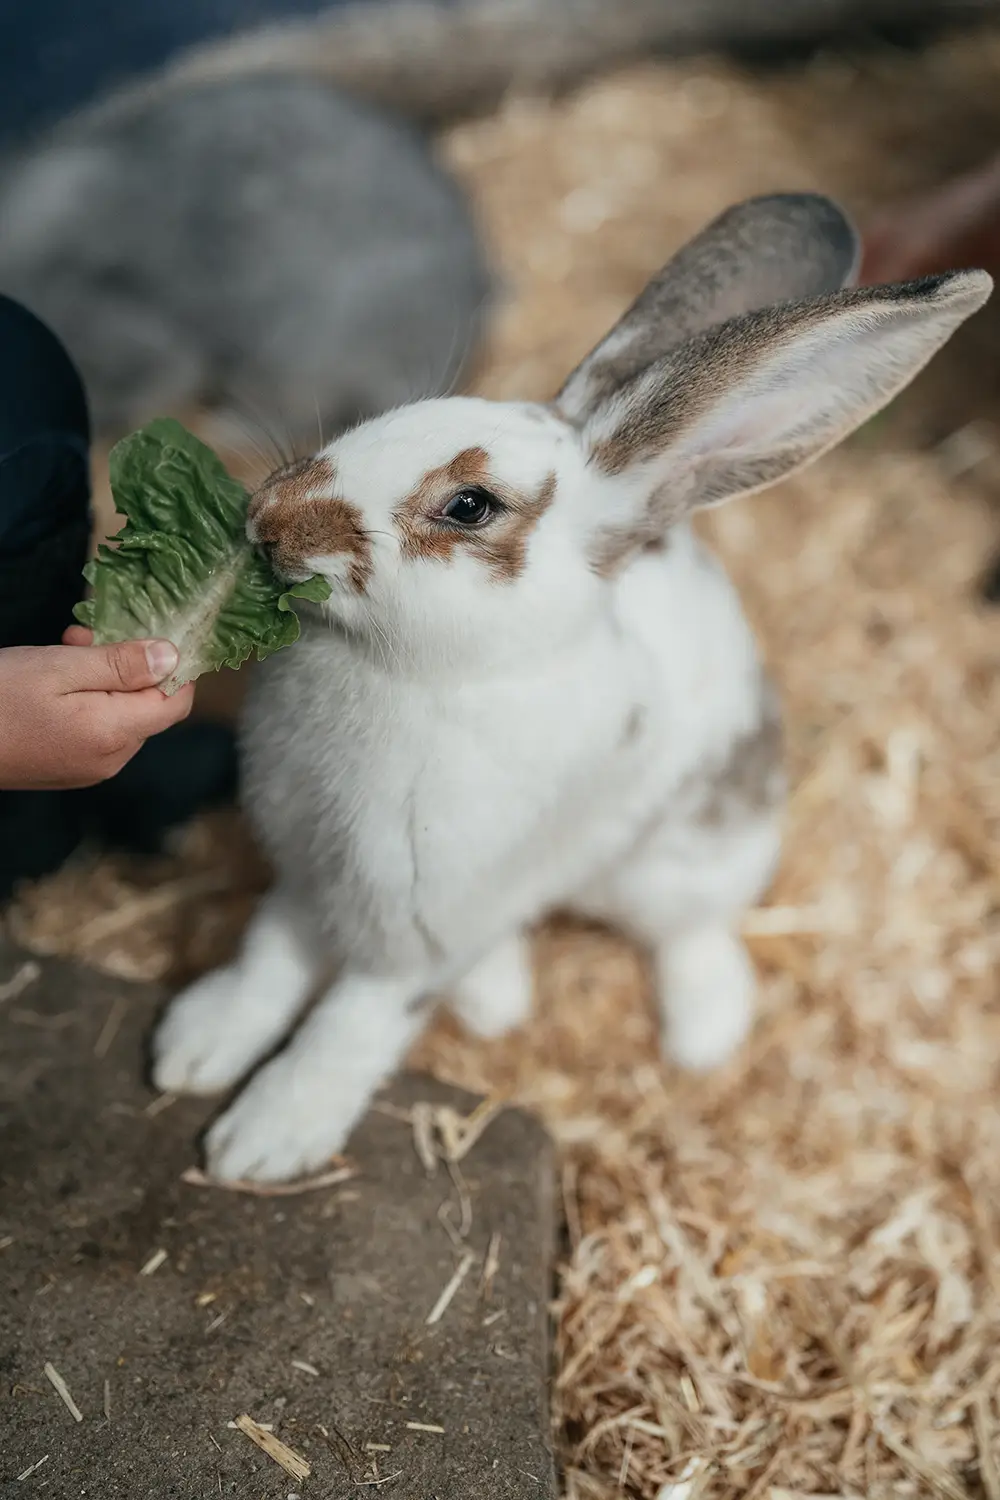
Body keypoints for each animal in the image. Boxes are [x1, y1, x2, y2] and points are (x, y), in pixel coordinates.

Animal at [150, 192, 991, 1184]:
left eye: (469, 506)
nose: (267, 521)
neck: (419, 674)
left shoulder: (416, 928)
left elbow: (349, 1026)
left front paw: (264, 1141)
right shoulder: (308, 876)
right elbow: (268, 959)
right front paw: (195, 1049)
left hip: (690, 861)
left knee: (692, 933)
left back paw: (703, 1031)